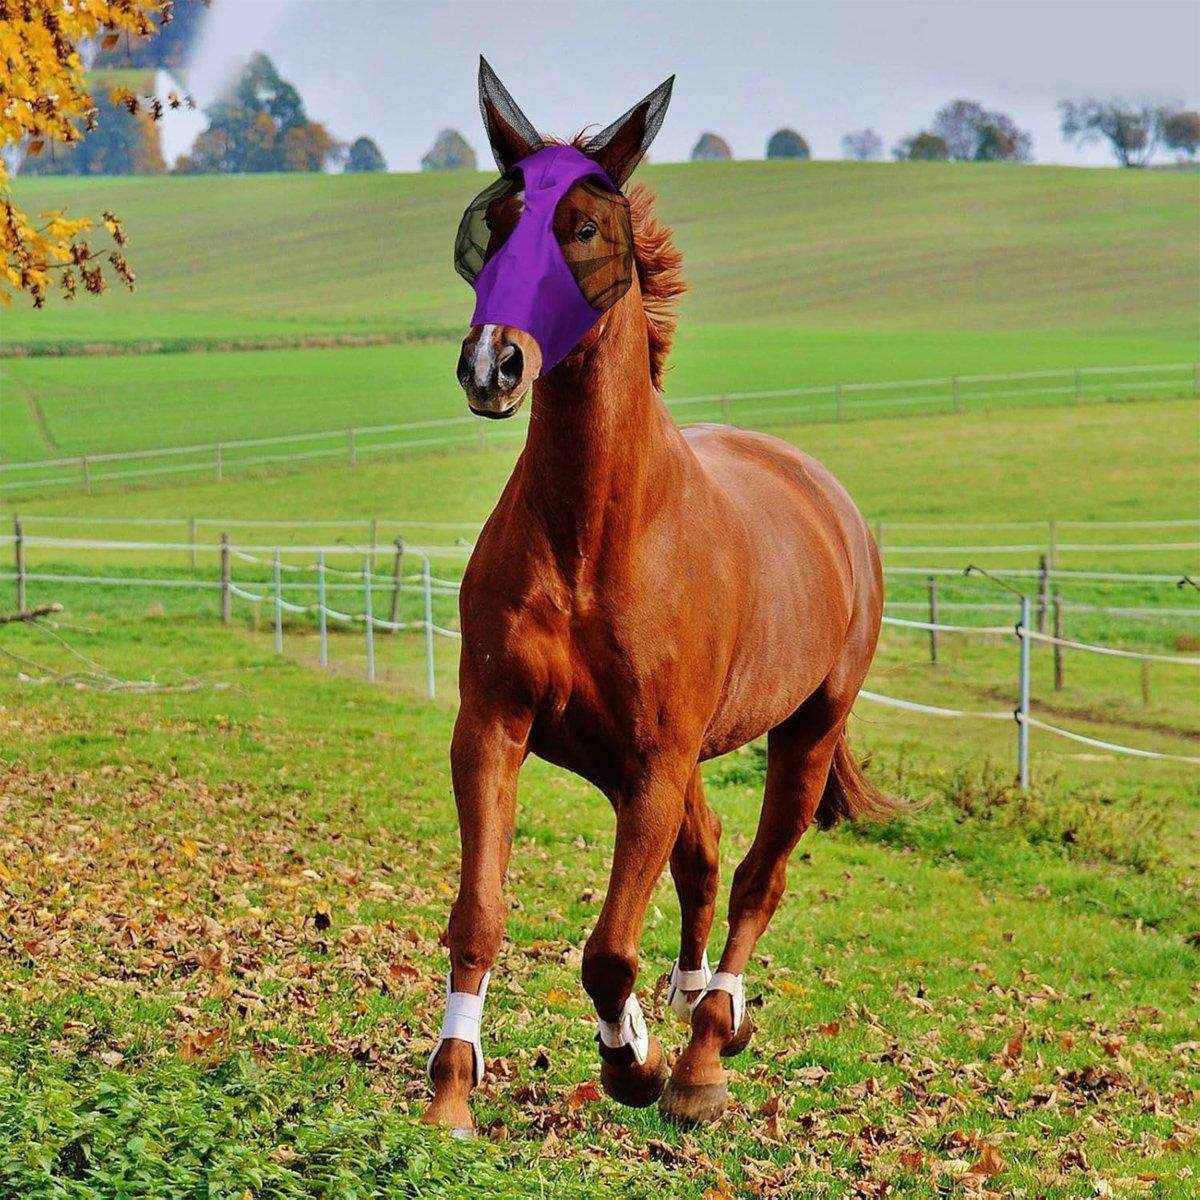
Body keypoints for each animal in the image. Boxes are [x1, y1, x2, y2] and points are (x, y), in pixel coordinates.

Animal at [423, 58, 892, 1134]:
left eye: (586, 228)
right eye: (496, 221)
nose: (493, 363)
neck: (594, 536)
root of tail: (831, 502)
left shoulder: (655, 759)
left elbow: (606, 950)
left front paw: (632, 1063)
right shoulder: (498, 727)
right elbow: (481, 914)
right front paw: (452, 1093)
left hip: (802, 732)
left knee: (759, 875)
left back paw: (706, 1051)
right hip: (634, 759)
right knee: (707, 856)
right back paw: (689, 1008)